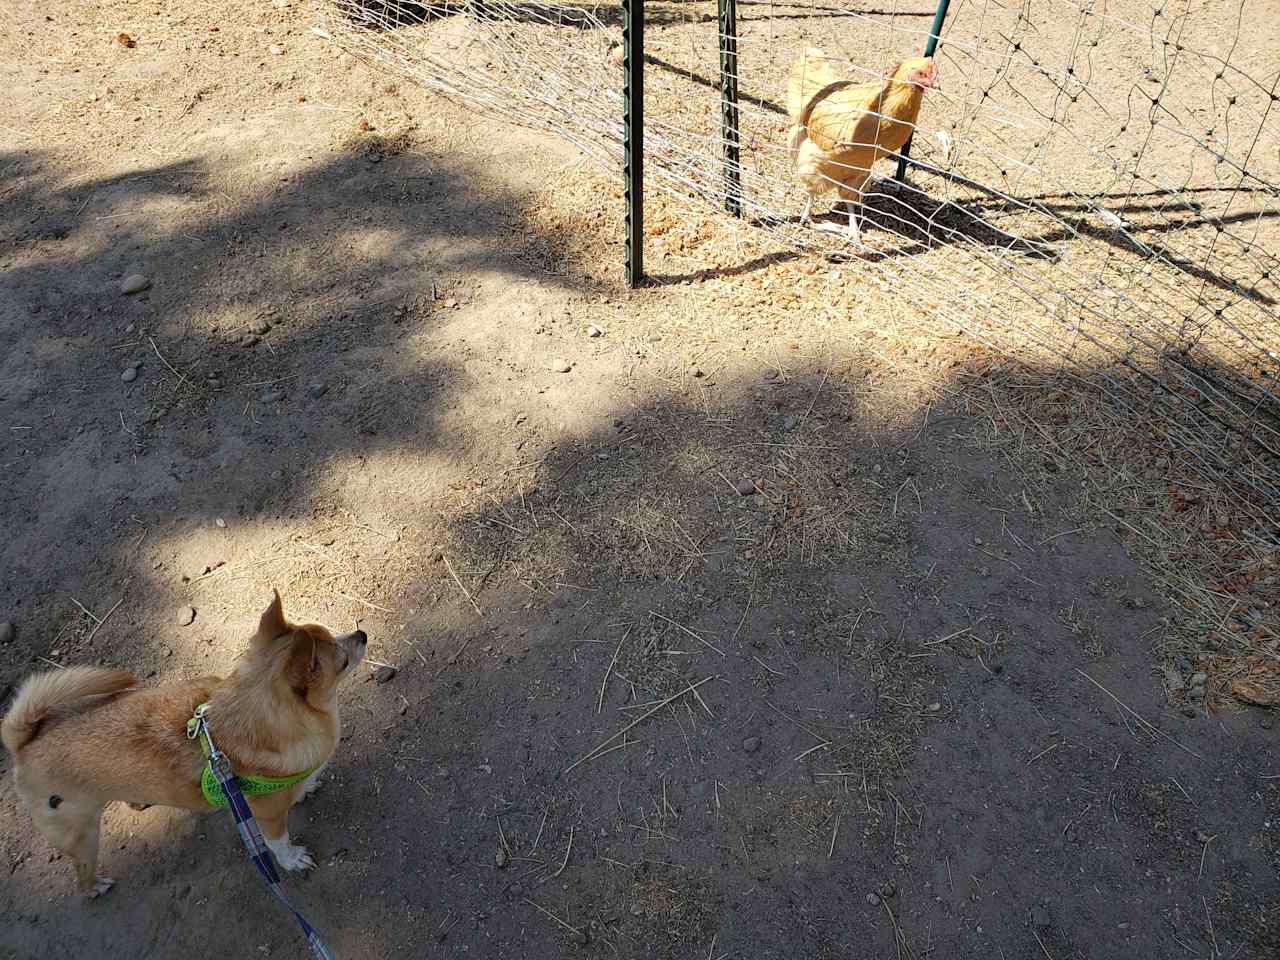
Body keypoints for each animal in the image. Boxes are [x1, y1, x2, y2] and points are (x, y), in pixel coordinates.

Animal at [2, 591, 368, 901]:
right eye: (342, 662)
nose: (362, 634)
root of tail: (23, 744)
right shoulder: (268, 818)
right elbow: (279, 843)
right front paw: (292, 859)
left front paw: (306, 787)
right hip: (81, 838)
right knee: (82, 874)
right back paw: (95, 886)